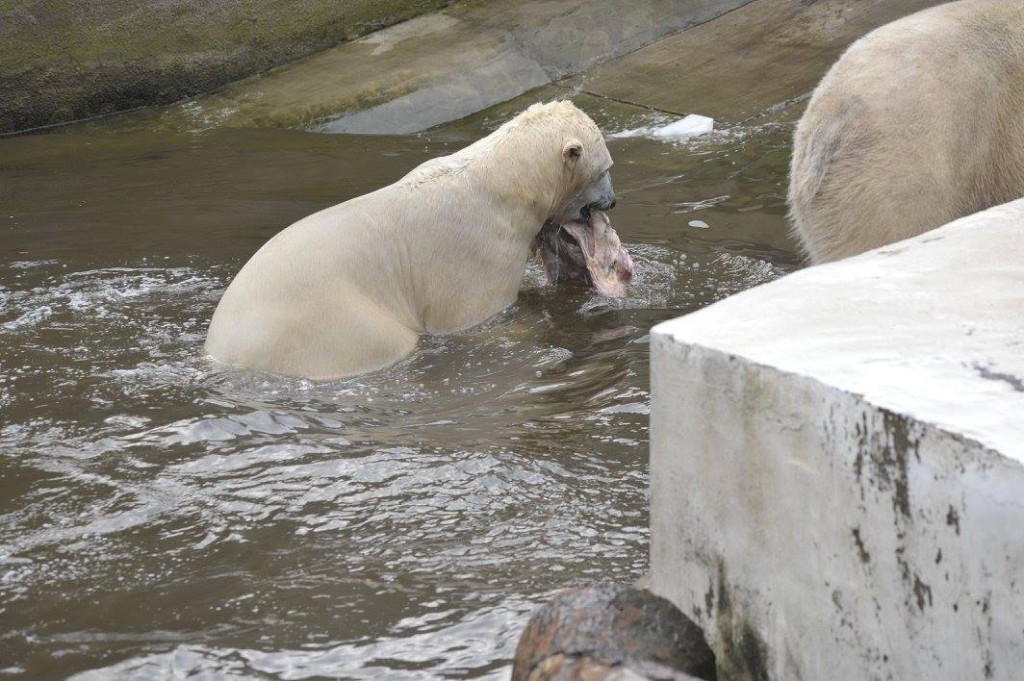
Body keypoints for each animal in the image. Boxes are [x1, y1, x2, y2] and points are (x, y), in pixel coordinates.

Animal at [203, 98, 626, 378]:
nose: (612, 200)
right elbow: (473, 316)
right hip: (328, 324)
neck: (504, 185)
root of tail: (223, 349)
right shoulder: (479, 249)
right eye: (606, 168)